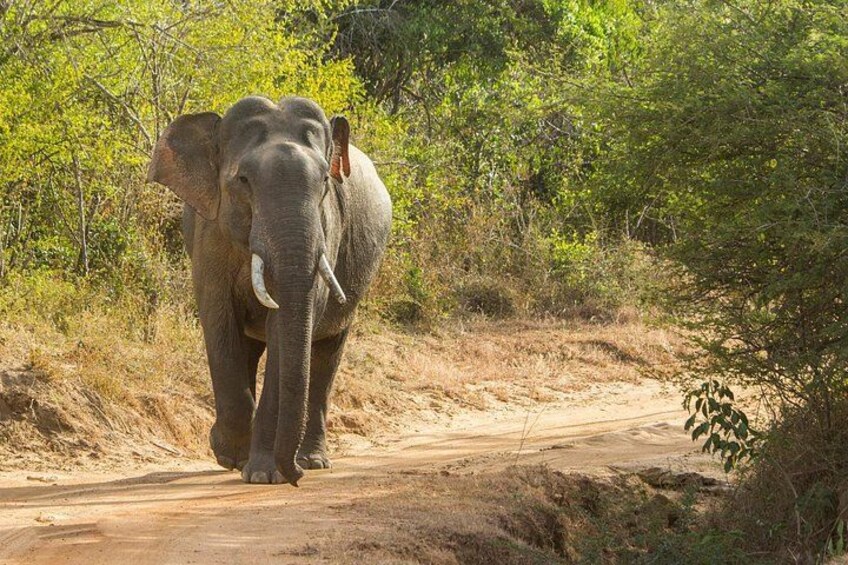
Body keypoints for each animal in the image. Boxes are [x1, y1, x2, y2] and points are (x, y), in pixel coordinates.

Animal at [147, 95, 392, 486]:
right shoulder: (209, 234)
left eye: (325, 180)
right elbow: (218, 321)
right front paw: (230, 454)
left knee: (325, 355)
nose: (294, 477)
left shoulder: (327, 231)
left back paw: (311, 460)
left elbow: (285, 329)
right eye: (243, 180)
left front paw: (262, 473)